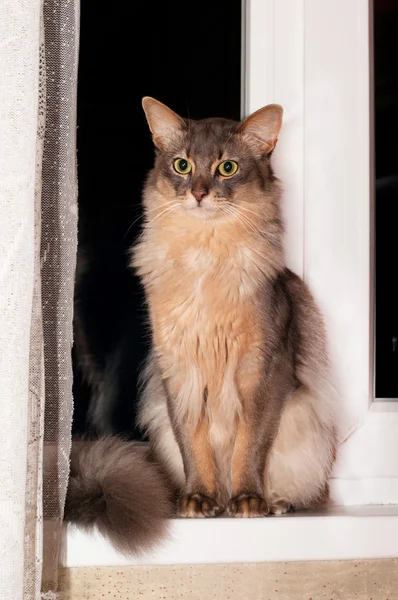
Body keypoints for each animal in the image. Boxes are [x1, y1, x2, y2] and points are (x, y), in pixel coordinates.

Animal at [132, 97, 338, 516]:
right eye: (182, 165)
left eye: (227, 168)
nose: (199, 193)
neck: (204, 257)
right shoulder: (178, 369)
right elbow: (192, 444)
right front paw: (198, 497)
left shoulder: (263, 368)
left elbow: (251, 444)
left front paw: (248, 498)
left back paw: (273, 503)